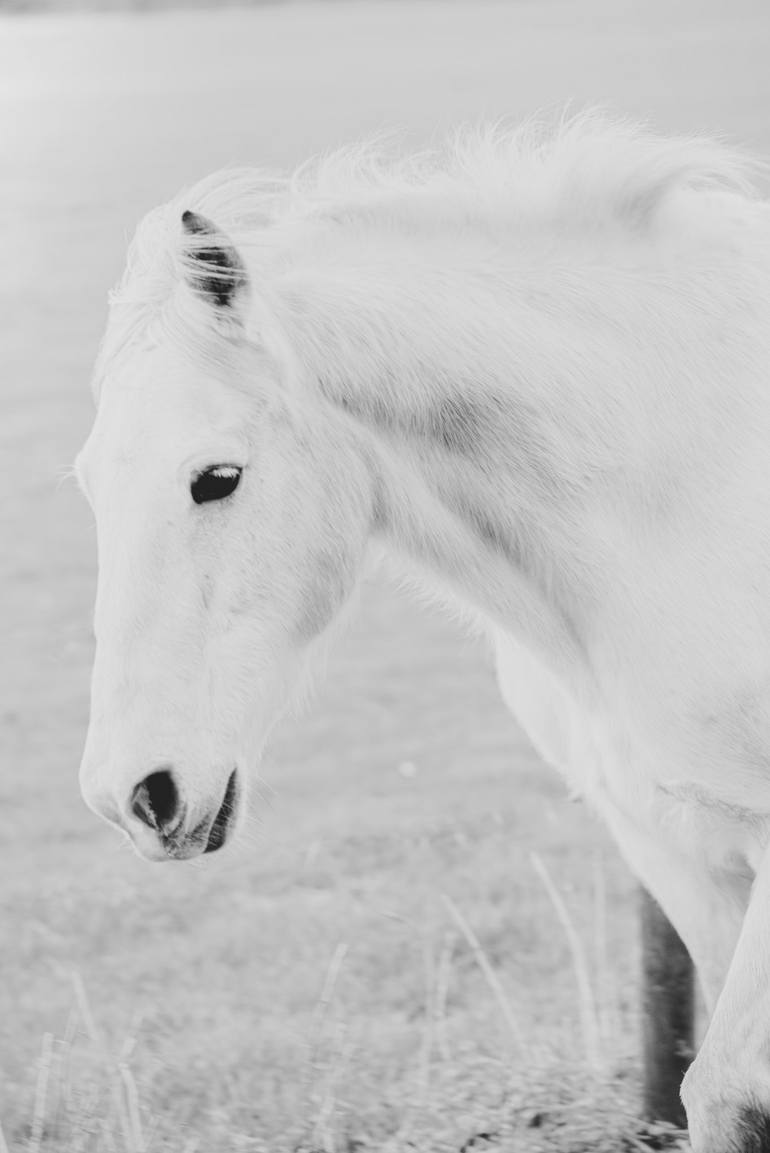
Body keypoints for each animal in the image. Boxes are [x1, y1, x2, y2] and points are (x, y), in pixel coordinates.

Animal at [76, 114, 770, 1143]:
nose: (135, 794)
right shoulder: (673, 845)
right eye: (90, 482)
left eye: (217, 477)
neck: (685, 487)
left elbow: (723, 1087)